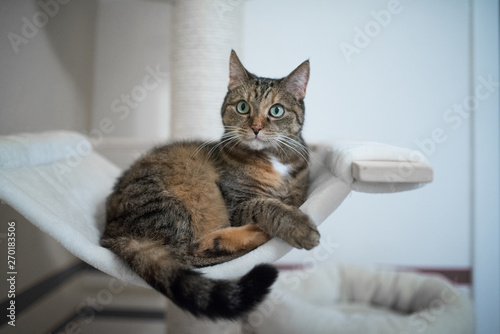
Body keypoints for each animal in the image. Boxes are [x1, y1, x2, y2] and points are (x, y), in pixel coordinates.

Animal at [100, 51, 320, 320]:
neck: (272, 160)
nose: (256, 128)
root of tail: (111, 234)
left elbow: (288, 200)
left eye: (276, 110)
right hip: (170, 204)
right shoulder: (237, 203)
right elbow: (268, 206)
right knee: (189, 254)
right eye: (243, 107)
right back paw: (250, 236)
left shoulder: (299, 194)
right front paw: (297, 226)